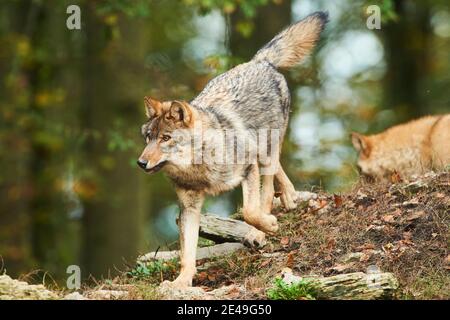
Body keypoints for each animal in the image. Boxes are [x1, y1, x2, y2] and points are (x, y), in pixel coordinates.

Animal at [136, 11, 326, 288]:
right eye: (148, 138)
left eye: (166, 138)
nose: (140, 163)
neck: (199, 168)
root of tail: (260, 61)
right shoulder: (189, 207)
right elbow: (187, 252)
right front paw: (181, 282)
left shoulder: (248, 168)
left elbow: (249, 211)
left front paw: (268, 225)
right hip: (264, 152)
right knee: (278, 174)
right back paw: (289, 197)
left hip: (265, 154)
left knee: (266, 190)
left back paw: (265, 223)